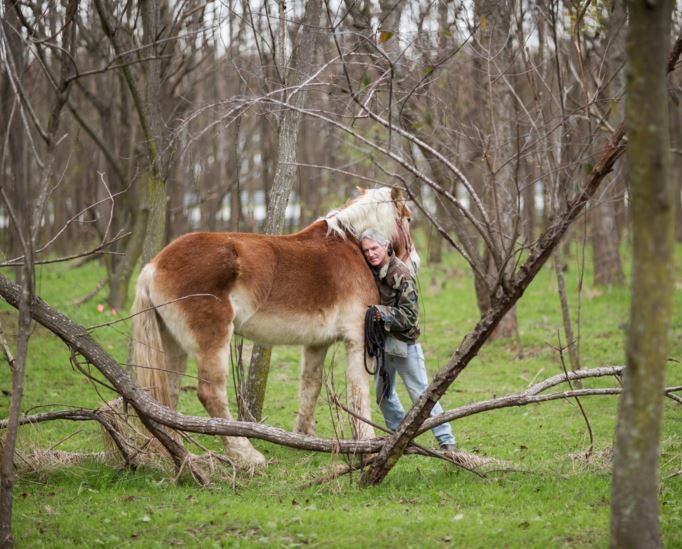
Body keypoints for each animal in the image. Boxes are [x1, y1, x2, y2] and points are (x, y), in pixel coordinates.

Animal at [127, 186, 414, 464]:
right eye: (409, 219)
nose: (412, 263)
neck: (349, 246)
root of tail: (154, 266)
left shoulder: (316, 343)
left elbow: (310, 385)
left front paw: (305, 438)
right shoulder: (358, 338)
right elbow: (357, 392)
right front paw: (367, 444)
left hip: (172, 345)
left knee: (167, 394)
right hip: (213, 341)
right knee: (211, 393)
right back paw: (246, 455)